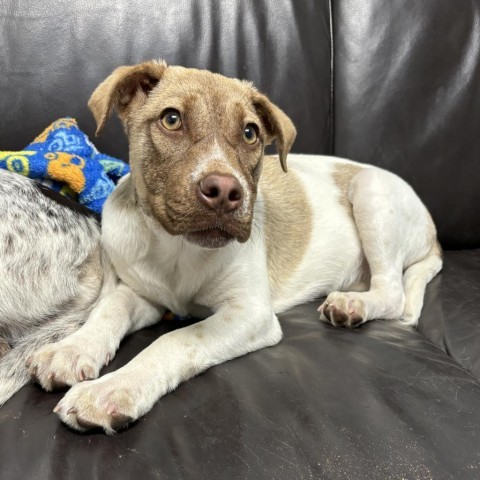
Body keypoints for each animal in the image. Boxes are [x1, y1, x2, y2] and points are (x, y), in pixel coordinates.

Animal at [0, 61, 442, 436]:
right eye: (171, 119)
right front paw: (71, 350)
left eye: (250, 133)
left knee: (393, 293)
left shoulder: (249, 314)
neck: (178, 250)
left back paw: (353, 305)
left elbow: (178, 339)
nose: (227, 192)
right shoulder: (141, 292)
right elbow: (109, 310)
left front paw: (111, 390)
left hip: (371, 193)